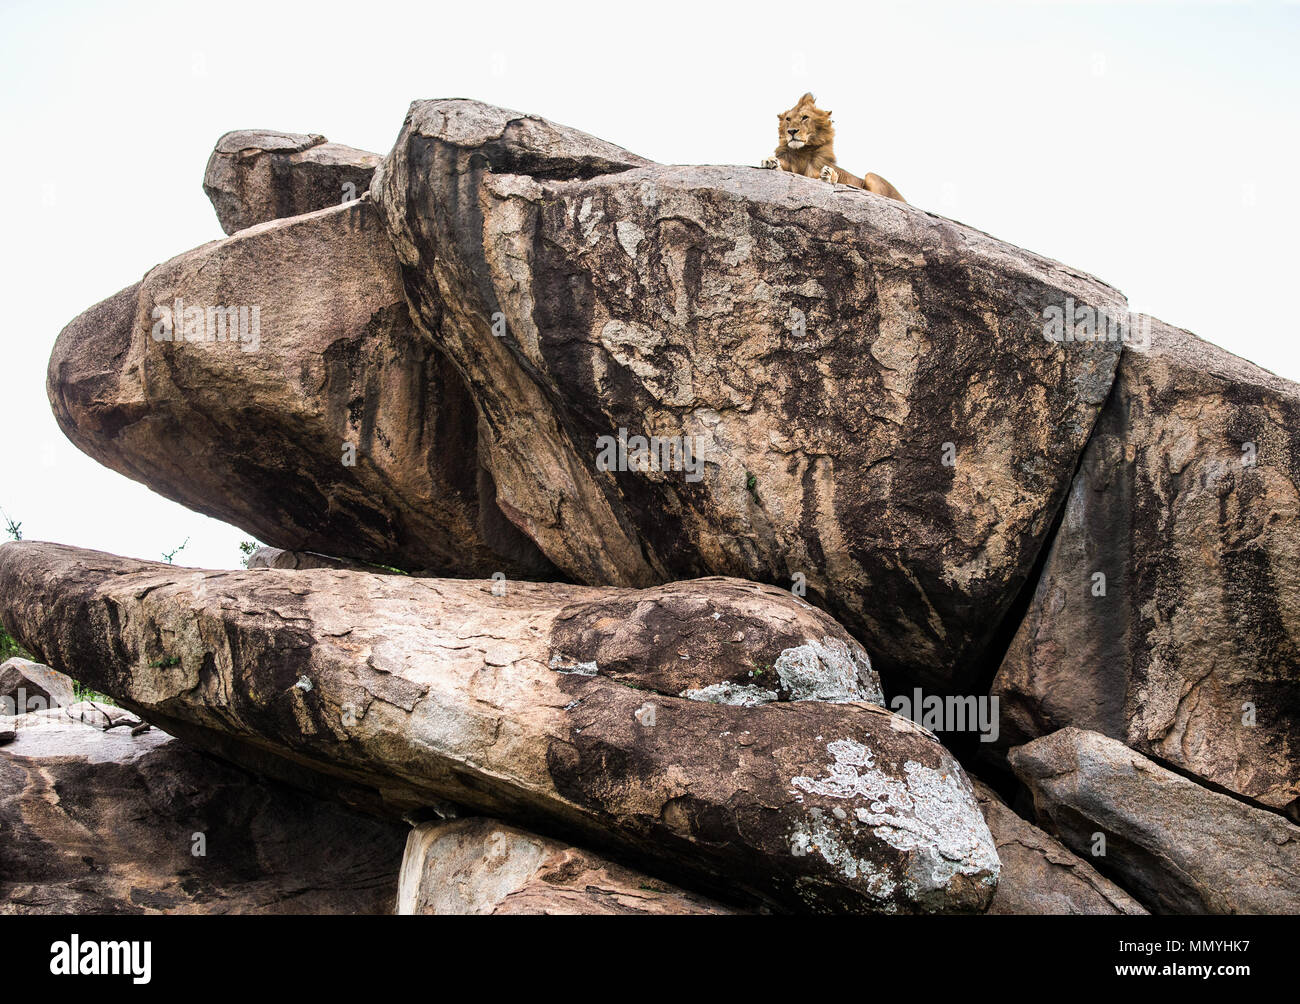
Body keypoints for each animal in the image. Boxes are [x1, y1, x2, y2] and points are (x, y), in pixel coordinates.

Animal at [761, 93, 905, 202]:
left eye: (805, 117)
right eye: (788, 119)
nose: (791, 131)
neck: (802, 152)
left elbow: (828, 176)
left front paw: (828, 175)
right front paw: (769, 161)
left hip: (871, 175)